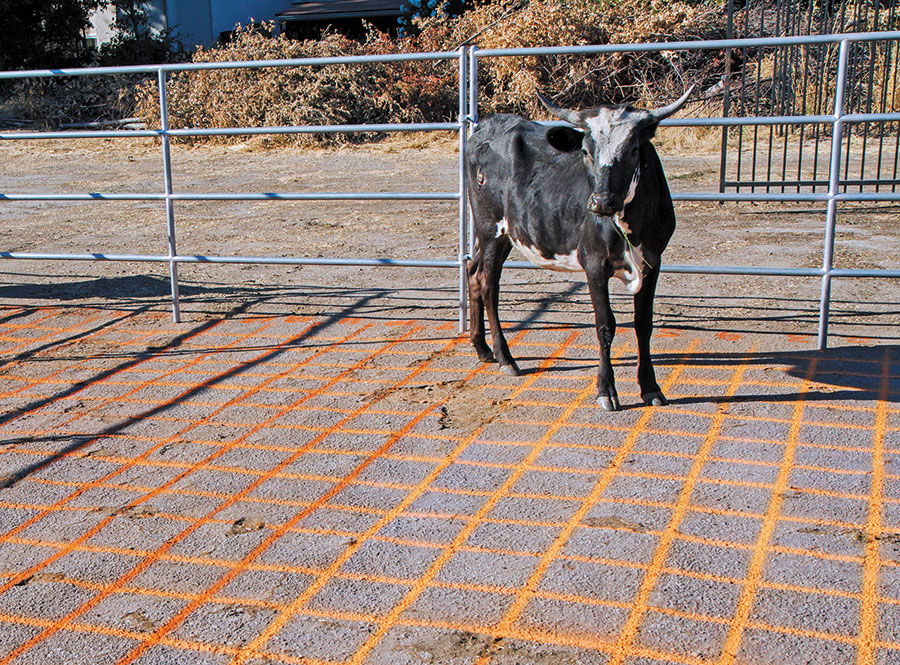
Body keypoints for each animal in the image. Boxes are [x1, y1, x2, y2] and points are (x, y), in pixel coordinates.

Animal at [465, 87, 694, 411]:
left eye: (633, 150)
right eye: (586, 151)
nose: (601, 201)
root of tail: (487, 125)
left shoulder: (652, 262)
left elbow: (643, 324)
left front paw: (650, 387)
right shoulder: (594, 262)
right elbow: (605, 325)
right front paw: (606, 390)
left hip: (503, 235)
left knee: (474, 272)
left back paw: (483, 348)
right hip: (490, 229)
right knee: (488, 283)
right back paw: (505, 357)